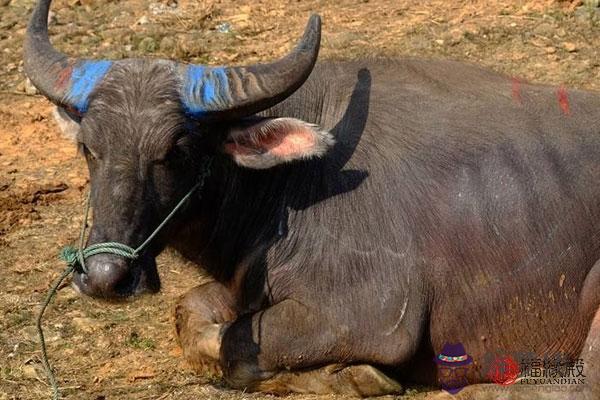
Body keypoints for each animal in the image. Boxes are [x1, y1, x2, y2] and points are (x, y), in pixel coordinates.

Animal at [24, 0, 600, 396]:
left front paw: (357, 376)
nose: (105, 277)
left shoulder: (371, 314)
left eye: (176, 149)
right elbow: (191, 316)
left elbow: (237, 344)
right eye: (88, 147)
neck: (289, 186)